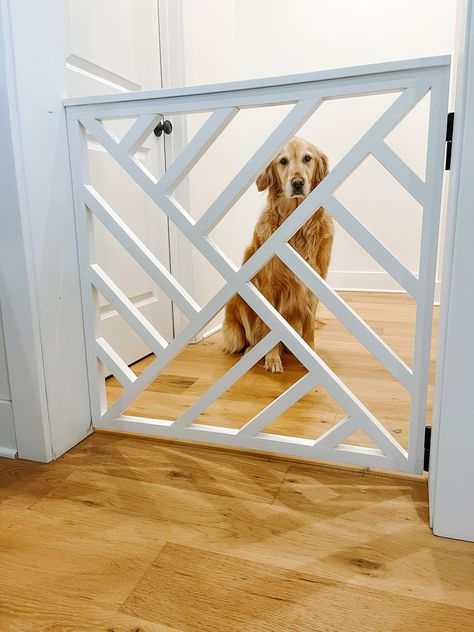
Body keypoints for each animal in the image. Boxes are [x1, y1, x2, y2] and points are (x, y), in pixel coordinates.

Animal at [222, 134, 334, 370]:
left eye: (307, 158)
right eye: (283, 161)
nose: (297, 183)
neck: (298, 228)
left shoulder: (314, 283)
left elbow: (309, 327)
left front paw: (310, 355)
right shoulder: (269, 285)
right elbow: (269, 328)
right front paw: (272, 359)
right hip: (240, 305)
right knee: (248, 338)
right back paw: (251, 351)